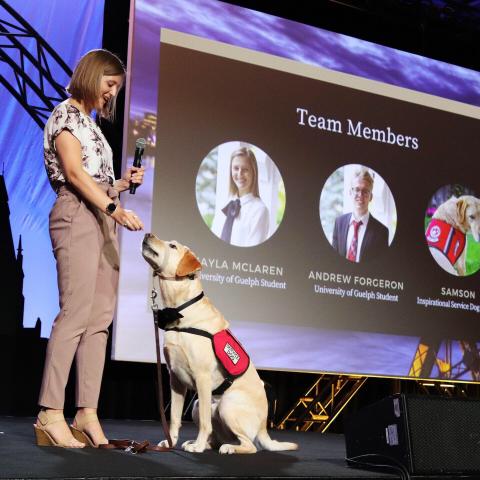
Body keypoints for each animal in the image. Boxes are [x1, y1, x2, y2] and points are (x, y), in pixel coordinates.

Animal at [141, 234, 298, 456]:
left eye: (172, 246)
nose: (148, 235)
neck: (181, 310)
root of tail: (263, 428)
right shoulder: (175, 379)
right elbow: (174, 418)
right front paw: (170, 442)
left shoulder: (202, 377)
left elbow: (205, 422)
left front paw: (197, 446)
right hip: (198, 403)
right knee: (217, 438)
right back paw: (205, 444)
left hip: (227, 405)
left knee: (250, 446)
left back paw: (226, 448)